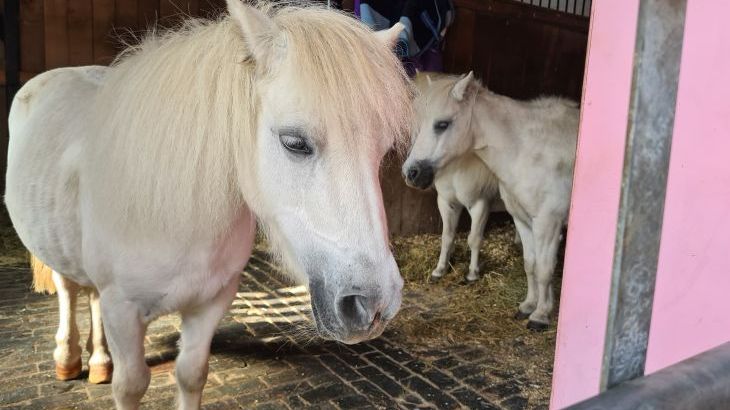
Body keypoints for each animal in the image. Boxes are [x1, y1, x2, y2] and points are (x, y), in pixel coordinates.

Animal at [7, 1, 410, 408]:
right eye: (294, 142)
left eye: (382, 151)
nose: (374, 304)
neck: (175, 217)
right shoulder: (122, 309)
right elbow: (131, 384)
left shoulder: (212, 303)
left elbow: (191, 374)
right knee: (69, 290)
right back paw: (68, 359)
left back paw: (100, 362)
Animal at [400, 72, 576, 332]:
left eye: (442, 124)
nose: (411, 173)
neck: (528, 151)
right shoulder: (523, 220)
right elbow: (530, 264)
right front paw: (528, 306)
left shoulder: (546, 223)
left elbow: (544, 270)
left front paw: (540, 316)